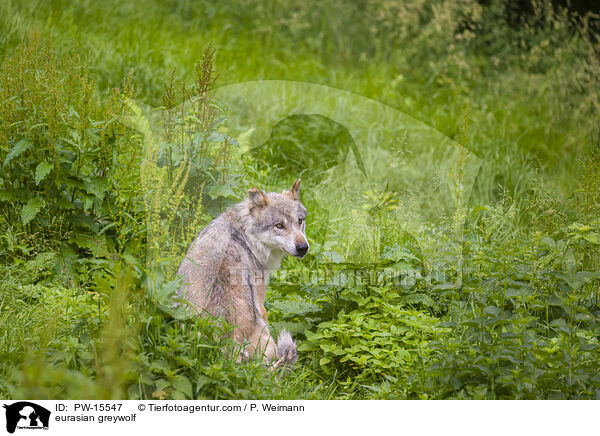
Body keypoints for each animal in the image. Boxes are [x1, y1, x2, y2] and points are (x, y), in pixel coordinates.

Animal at [176, 180, 310, 368]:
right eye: (279, 226)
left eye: (300, 221)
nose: (303, 247)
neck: (246, 235)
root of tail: (228, 350)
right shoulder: (260, 299)